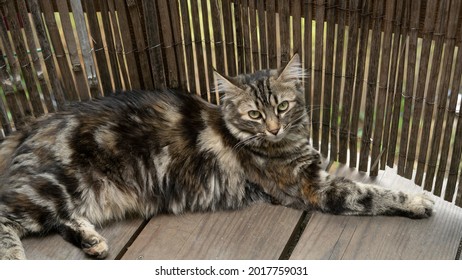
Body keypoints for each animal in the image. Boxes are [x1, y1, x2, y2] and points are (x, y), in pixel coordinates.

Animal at [0, 54, 434, 260]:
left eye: (283, 107)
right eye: (255, 115)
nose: (273, 129)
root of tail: (34, 123)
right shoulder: (313, 187)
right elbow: (373, 195)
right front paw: (418, 202)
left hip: (75, 195)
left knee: (59, 220)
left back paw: (92, 241)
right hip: (54, 186)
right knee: (8, 214)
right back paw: (16, 258)